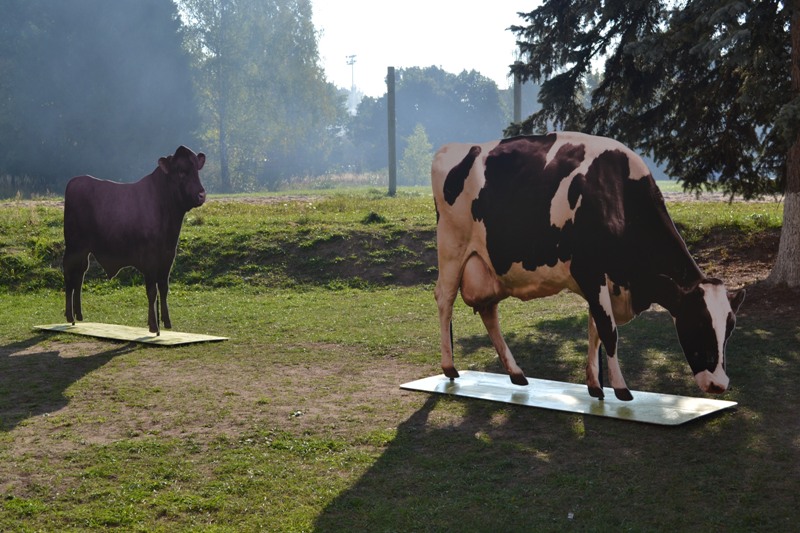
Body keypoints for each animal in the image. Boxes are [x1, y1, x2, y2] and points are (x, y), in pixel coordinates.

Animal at [63, 145, 207, 335]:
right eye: (181, 171)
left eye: (197, 170)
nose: (201, 195)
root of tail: (76, 180)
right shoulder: (150, 258)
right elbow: (152, 291)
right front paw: (153, 326)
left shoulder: (168, 256)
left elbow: (164, 288)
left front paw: (166, 322)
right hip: (73, 246)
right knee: (68, 275)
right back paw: (69, 316)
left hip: (83, 250)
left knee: (79, 275)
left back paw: (78, 316)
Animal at [432, 132, 745, 401]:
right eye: (698, 322)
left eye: (730, 329)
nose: (719, 384)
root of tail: (453, 148)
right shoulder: (590, 272)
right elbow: (609, 331)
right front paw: (621, 388)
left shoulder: (604, 282)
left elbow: (595, 328)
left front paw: (595, 385)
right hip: (452, 247)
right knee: (445, 299)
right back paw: (449, 367)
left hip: (487, 268)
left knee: (489, 312)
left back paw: (516, 373)